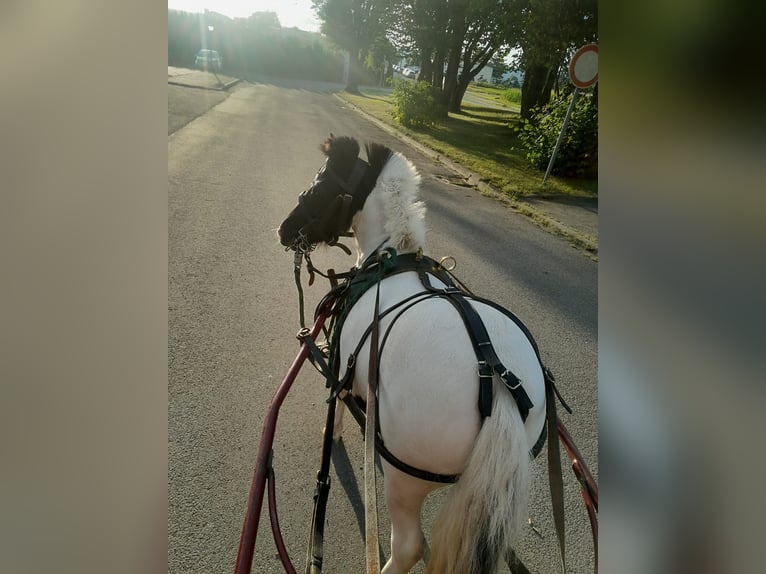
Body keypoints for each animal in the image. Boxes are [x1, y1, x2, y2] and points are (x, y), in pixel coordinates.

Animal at [280, 136, 552, 574]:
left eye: (319, 185)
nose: (284, 229)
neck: (391, 256)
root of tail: (496, 381)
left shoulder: (340, 366)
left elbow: (337, 401)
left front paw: (332, 431)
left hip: (404, 479)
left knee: (408, 544)